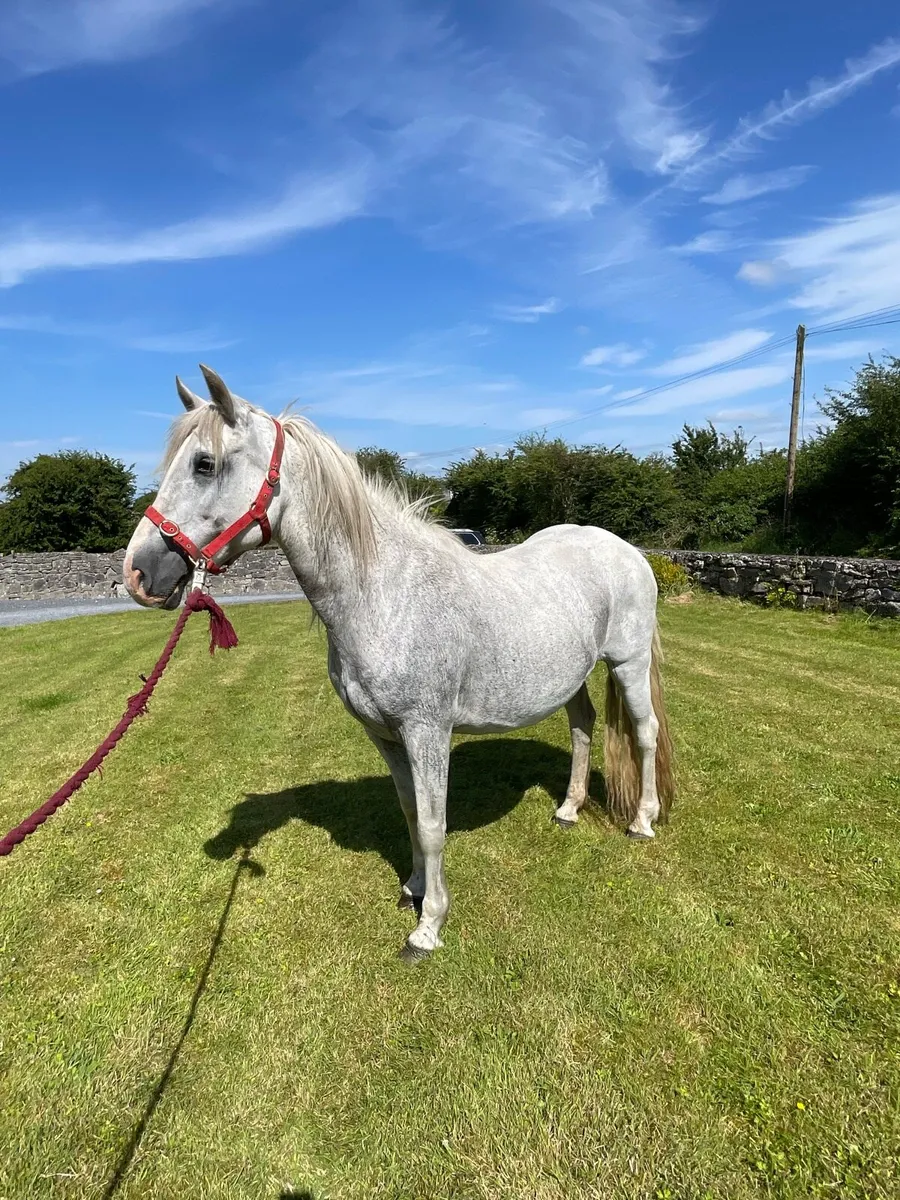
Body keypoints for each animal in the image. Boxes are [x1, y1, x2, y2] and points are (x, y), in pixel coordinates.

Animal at [124, 365, 674, 962]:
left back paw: (642, 821)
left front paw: (428, 926)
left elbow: (433, 823)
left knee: (645, 732)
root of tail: (628, 550)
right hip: (570, 678)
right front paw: (412, 887)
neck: (384, 595)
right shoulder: (384, 734)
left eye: (204, 463)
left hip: (627, 663)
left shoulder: (426, 731)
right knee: (582, 727)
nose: (138, 574)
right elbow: (409, 812)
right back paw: (569, 810)